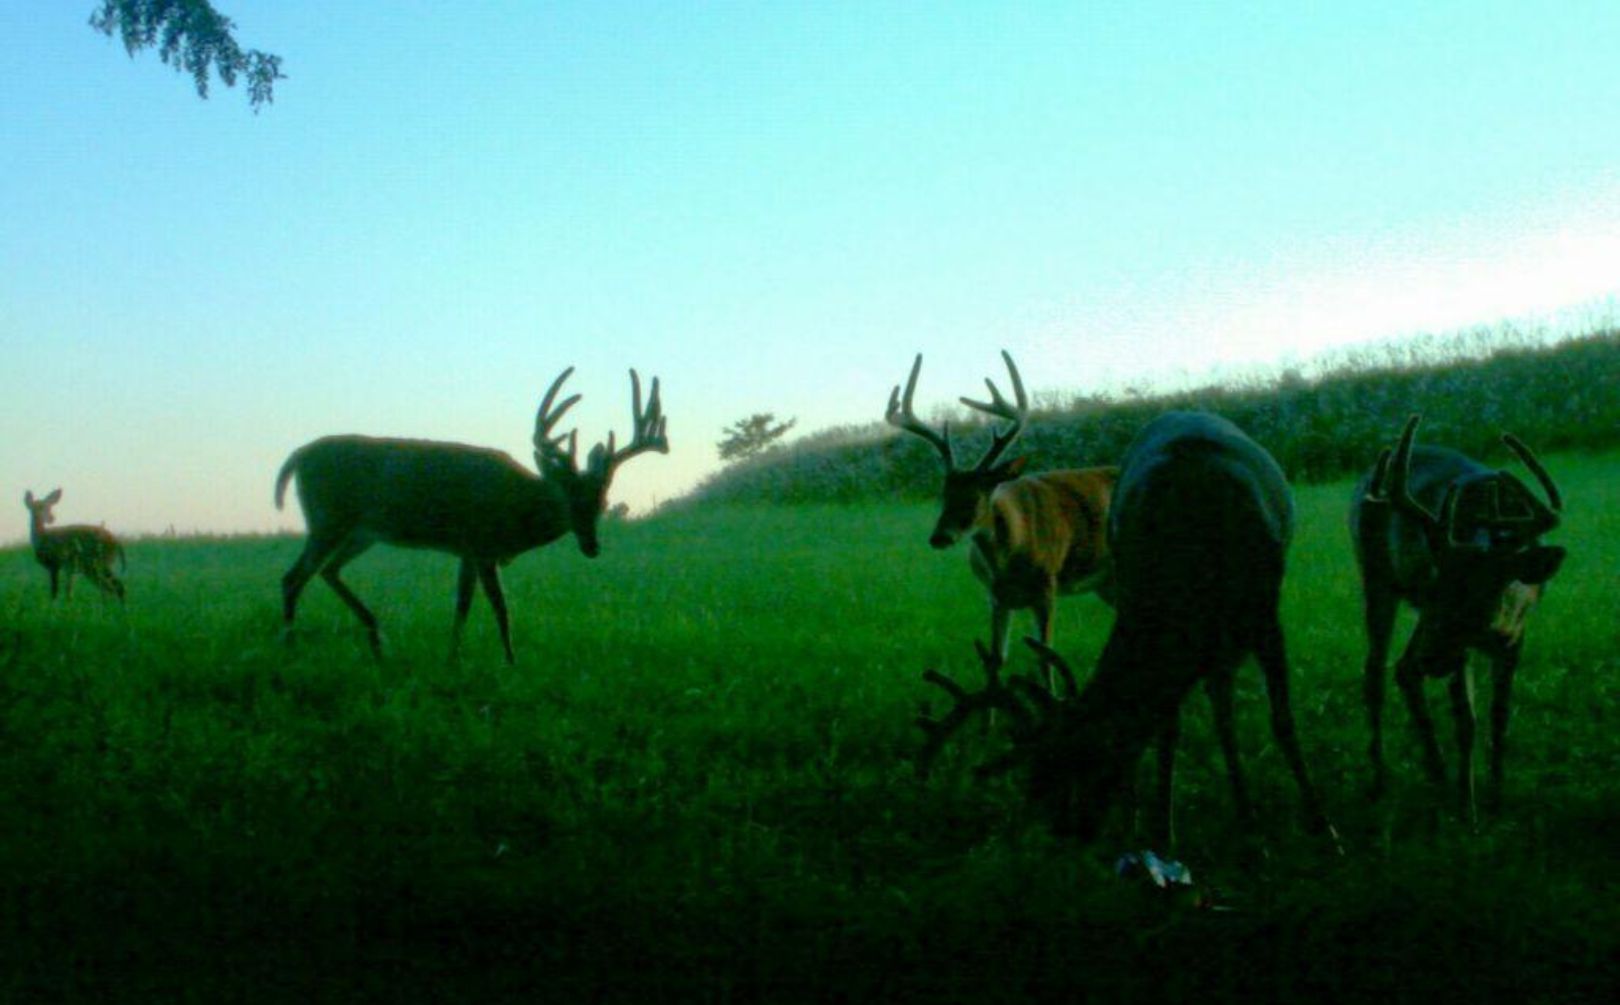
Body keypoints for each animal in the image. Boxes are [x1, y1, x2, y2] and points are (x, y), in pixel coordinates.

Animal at [275, 364, 667, 664]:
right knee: (294, 576)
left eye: (601, 501)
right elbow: (499, 607)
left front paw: (453, 656)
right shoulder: (482, 544)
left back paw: (376, 637)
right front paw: (510, 661)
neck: (517, 505)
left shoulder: (466, 550)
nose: (591, 546)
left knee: (327, 571)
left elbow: (462, 604)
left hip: (361, 531)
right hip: (328, 519)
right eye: (565, 497)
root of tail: (297, 456)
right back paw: (291, 645)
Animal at [887, 346, 1114, 690]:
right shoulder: (996, 598)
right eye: (943, 494)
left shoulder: (1047, 587)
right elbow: (995, 660)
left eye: (979, 495)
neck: (1009, 558)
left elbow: (1046, 659)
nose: (940, 537)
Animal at [920, 411, 1334, 849]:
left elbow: (1282, 720)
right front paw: (1164, 830)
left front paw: (1322, 825)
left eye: (1077, 762)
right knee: (1219, 701)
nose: (1066, 831)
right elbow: (1170, 724)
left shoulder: (1263, 610)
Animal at [1347, 411, 1561, 820]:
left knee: (1403, 668)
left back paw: (1437, 773)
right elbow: (1467, 721)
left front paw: (1496, 796)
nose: (1432, 660)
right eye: (1437, 582)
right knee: (1376, 670)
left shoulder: (1515, 636)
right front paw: (1468, 810)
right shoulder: (1454, 640)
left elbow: (1499, 715)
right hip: (1378, 578)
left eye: (1482, 590)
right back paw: (1380, 779)